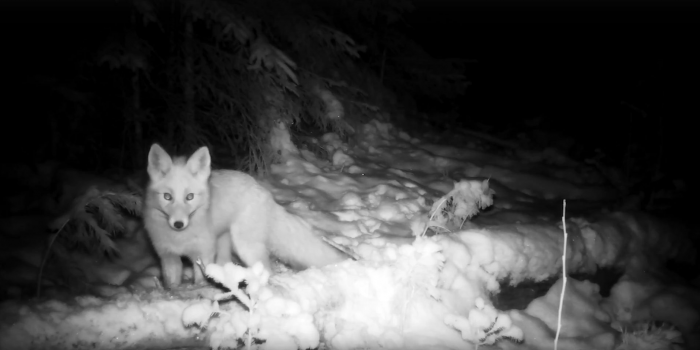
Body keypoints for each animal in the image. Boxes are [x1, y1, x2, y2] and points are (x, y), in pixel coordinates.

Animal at [143, 144, 348, 288]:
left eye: (189, 197)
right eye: (167, 196)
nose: (178, 224)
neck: (180, 239)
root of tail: (263, 191)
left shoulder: (203, 252)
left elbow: (201, 279)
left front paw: (200, 289)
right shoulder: (167, 256)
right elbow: (172, 283)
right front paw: (174, 292)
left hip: (244, 246)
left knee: (266, 269)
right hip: (226, 244)